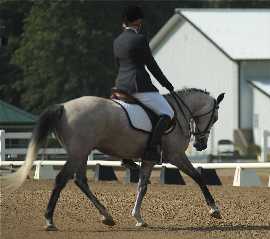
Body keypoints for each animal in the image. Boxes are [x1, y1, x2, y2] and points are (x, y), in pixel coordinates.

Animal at [2, 89, 224, 230]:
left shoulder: (149, 160)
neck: (178, 112)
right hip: (78, 152)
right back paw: (49, 220)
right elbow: (198, 177)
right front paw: (214, 209)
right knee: (62, 180)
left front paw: (138, 218)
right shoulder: (176, 155)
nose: (201, 145)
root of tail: (63, 107)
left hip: (81, 153)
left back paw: (106, 216)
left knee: (80, 180)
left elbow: (142, 186)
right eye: (215, 118)